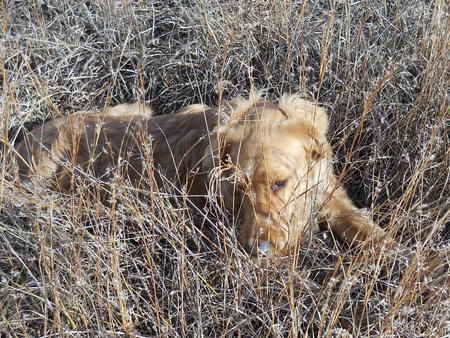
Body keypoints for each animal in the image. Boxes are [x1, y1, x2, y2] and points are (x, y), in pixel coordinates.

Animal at [8, 91, 388, 258]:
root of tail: (20, 142)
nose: (257, 251)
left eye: (280, 184)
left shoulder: (329, 194)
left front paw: (392, 252)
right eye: (236, 189)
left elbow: (366, 228)